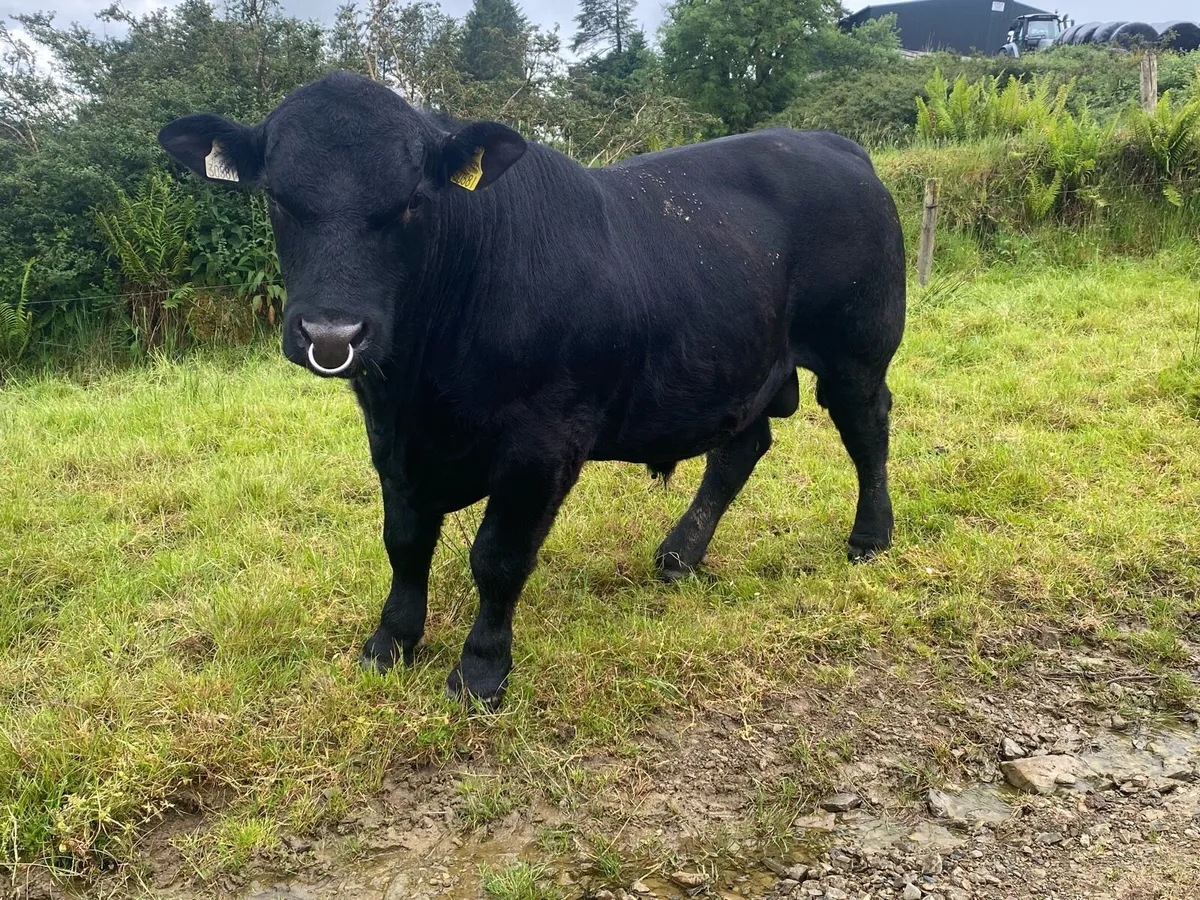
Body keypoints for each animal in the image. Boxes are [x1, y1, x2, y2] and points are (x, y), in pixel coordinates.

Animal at [159, 71, 906, 708]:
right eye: (277, 198)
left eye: (411, 202)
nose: (332, 333)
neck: (422, 390)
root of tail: (831, 143)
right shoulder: (394, 443)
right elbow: (404, 543)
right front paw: (390, 642)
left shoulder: (541, 445)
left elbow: (498, 558)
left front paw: (480, 670)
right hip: (744, 364)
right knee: (740, 448)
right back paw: (679, 555)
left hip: (857, 348)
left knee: (867, 430)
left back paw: (869, 539)